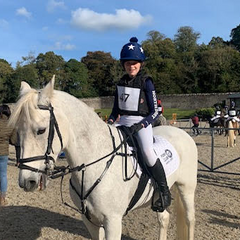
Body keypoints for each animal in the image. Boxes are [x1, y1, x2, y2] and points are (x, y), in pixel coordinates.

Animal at [8, 76, 197, 239]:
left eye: (41, 130)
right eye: (18, 131)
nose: (27, 182)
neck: (93, 162)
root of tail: (180, 132)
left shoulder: (113, 221)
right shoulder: (89, 220)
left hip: (186, 188)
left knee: (189, 220)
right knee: (164, 218)